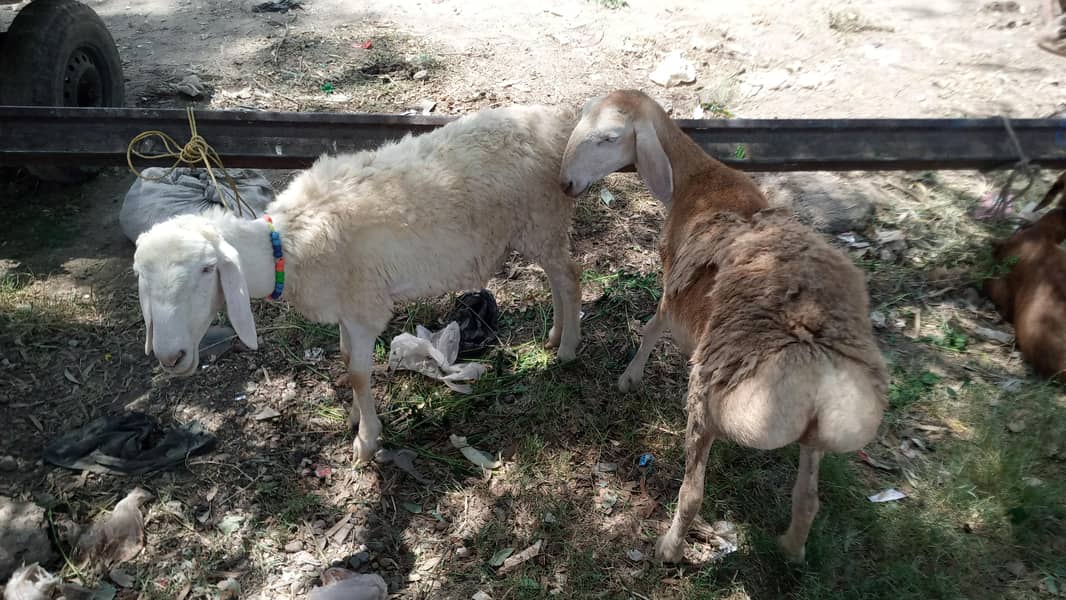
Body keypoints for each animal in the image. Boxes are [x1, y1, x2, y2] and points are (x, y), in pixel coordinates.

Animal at [133, 104, 583, 463]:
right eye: (142, 278)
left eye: (208, 269)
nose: (170, 356)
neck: (288, 246)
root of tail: (558, 120)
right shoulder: (345, 309)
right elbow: (347, 358)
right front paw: (354, 415)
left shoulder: (365, 308)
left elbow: (358, 374)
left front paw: (367, 442)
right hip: (539, 227)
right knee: (556, 279)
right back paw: (554, 335)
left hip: (542, 218)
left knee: (570, 278)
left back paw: (567, 349)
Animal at [559, 89, 888, 562]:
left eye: (609, 137)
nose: (565, 183)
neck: (698, 177)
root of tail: (815, 367)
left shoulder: (673, 282)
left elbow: (653, 327)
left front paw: (630, 377)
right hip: (817, 436)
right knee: (808, 498)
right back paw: (791, 549)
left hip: (711, 404)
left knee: (693, 494)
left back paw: (668, 548)